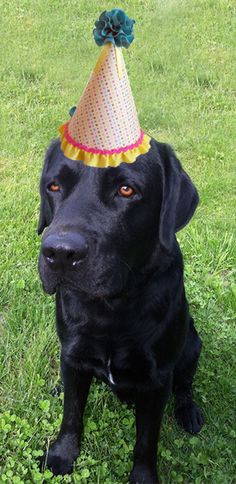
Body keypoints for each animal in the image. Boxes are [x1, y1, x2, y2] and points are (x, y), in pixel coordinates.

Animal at [37, 137, 204, 484]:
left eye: (127, 190)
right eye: (54, 186)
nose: (59, 253)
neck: (112, 308)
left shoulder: (157, 380)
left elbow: (146, 440)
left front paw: (143, 477)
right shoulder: (72, 355)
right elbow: (72, 414)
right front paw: (62, 455)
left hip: (192, 346)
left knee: (185, 386)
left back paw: (189, 412)